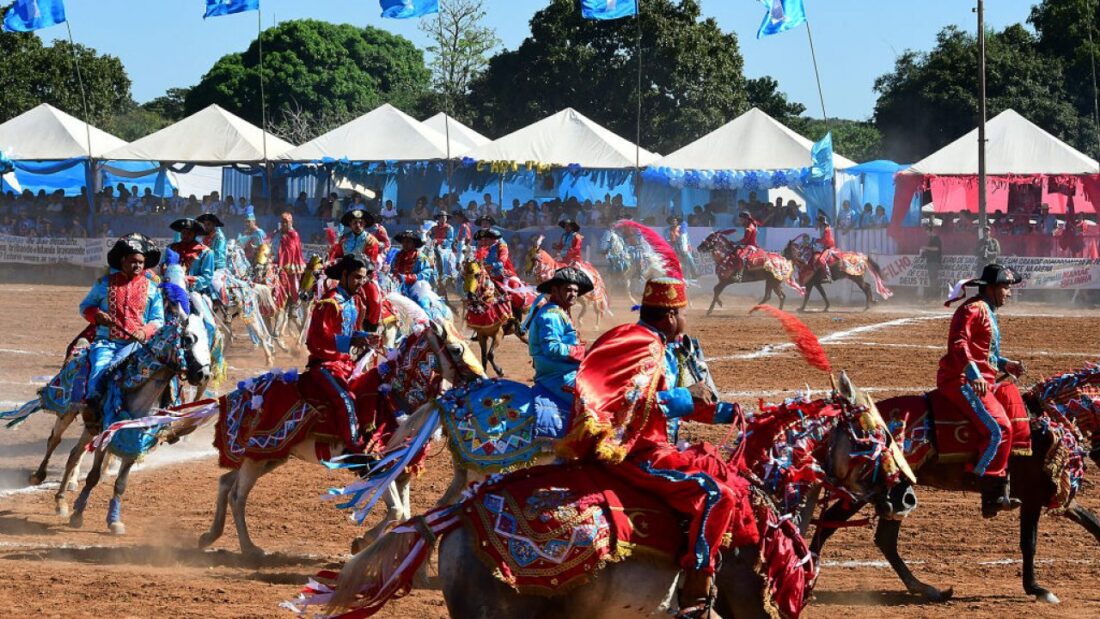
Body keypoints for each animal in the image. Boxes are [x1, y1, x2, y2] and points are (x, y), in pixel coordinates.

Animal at [59, 294, 212, 532]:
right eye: (188, 339)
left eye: (207, 340)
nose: (204, 374)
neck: (137, 390)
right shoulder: (106, 438)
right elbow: (93, 476)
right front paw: (78, 514)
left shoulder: (136, 441)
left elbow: (121, 484)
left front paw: (114, 521)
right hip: (69, 412)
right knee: (57, 441)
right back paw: (54, 495)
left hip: (91, 429)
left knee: (74, 454)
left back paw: (62, 500)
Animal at [809, 362, 1100, 606]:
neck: (1050, 420)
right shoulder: (1032, 496)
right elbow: (1029, 543)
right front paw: (1037, 589)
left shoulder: (1059, 497)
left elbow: (1094, 524)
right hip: (870, 493)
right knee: (830, 526)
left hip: (894, 496)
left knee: (883, 539)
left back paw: (927, 589)